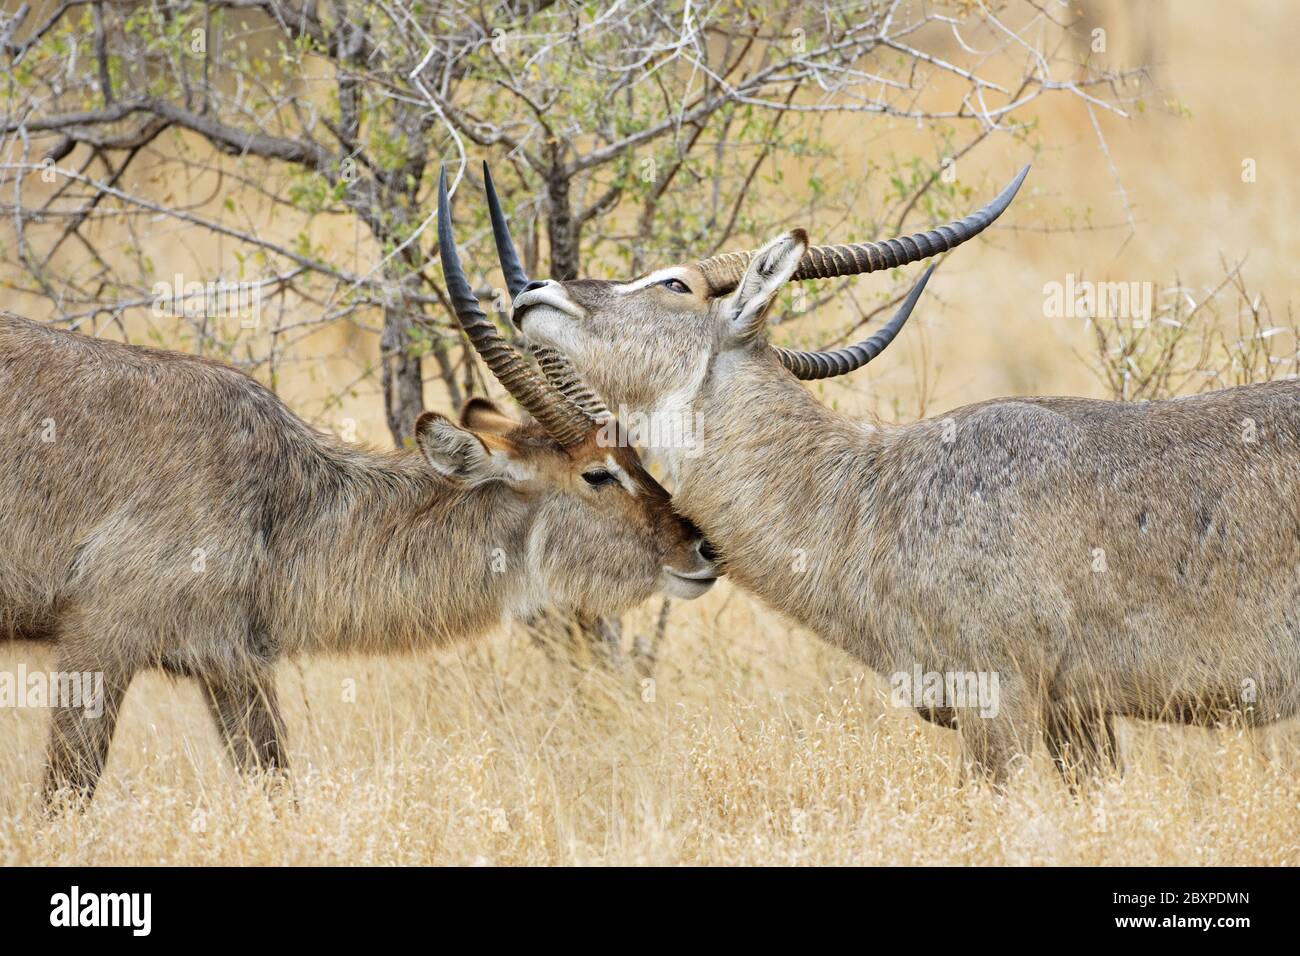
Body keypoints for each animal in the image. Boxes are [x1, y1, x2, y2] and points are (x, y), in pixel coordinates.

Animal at [0, 180, 717, 801]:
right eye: (597, 472)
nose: (702, 548)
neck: (276, 499)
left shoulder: (233, 664)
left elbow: (276, 789)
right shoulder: (96, 644)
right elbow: (65, 796)